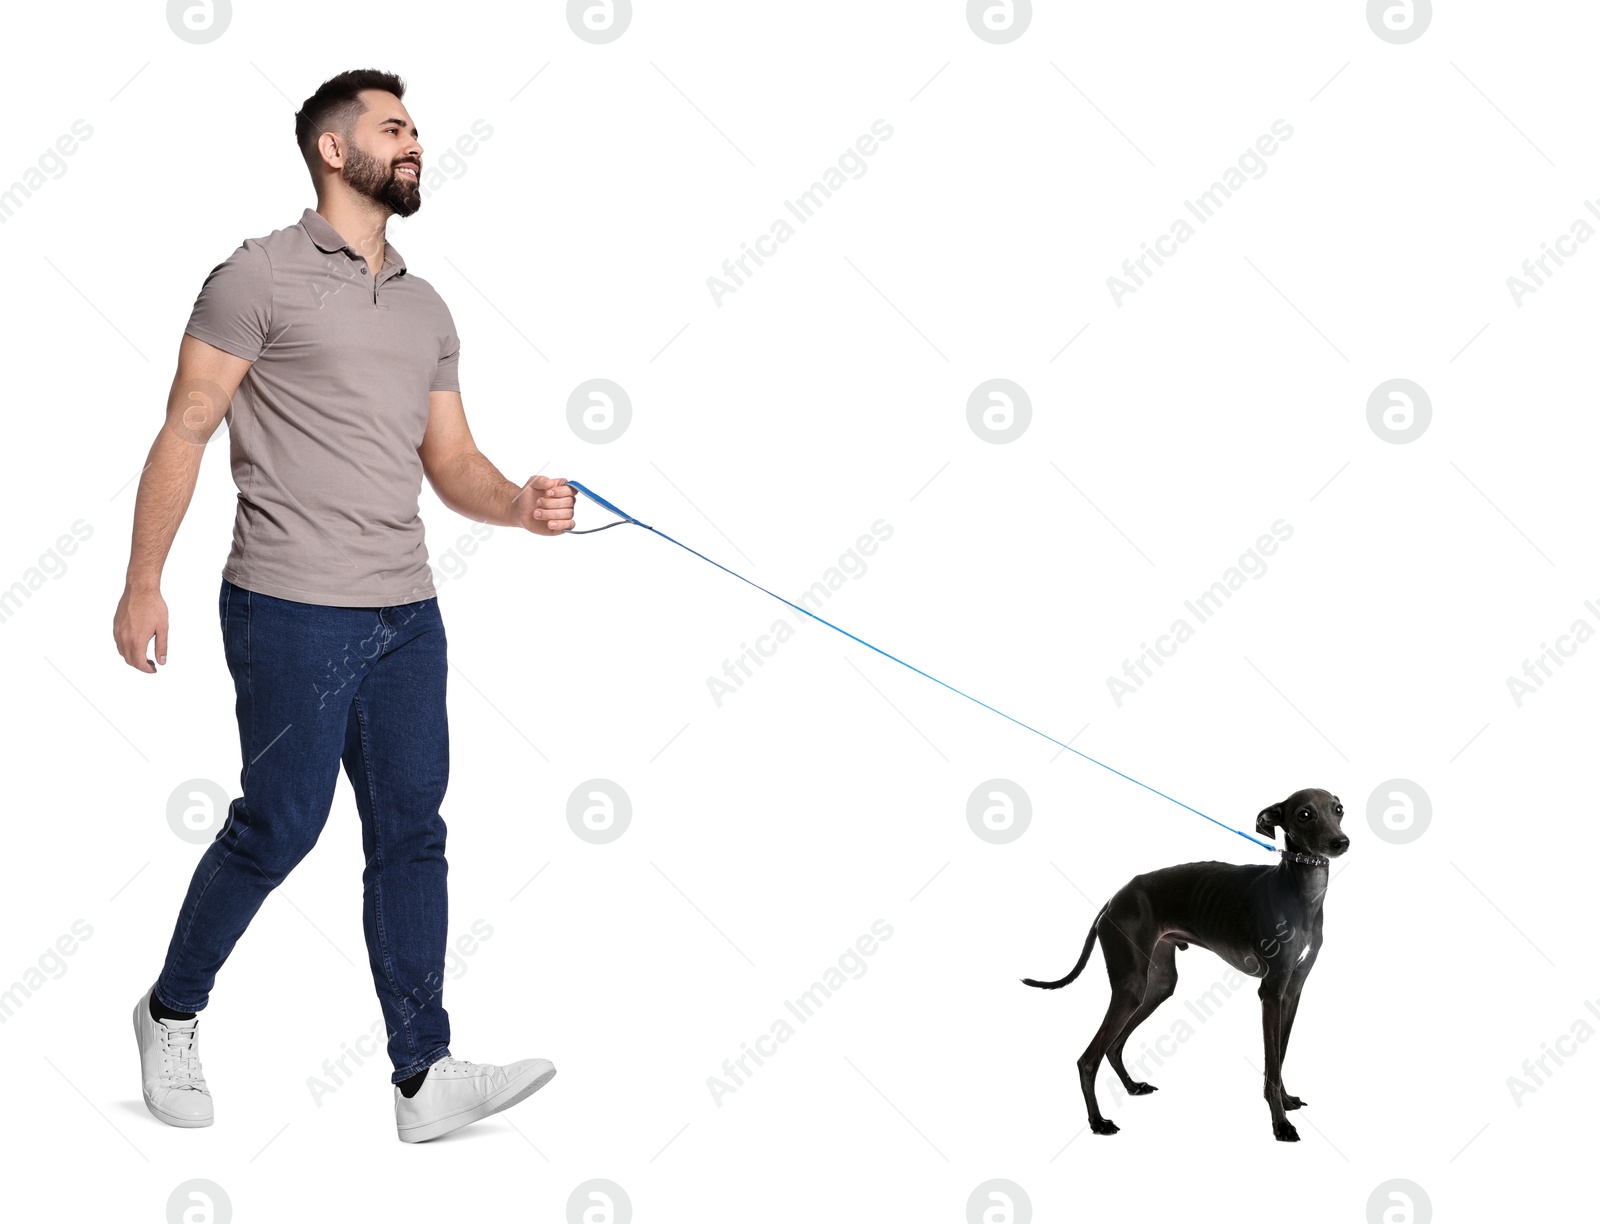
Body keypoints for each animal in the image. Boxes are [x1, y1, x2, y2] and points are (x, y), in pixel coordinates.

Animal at [1017, 787, 1344, 1139]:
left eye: (1338, 809)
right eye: (1304, 814)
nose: (1341, 842)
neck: (1300, 893)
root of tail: (1114, 899)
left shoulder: (1292, 991)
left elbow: (1279, 1057)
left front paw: (1286, 1101)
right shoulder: (1271, 992)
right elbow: (1271, 1063)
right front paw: (1280, 1124)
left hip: (1158, 985)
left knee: (1113, 1046)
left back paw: (1132, 1086)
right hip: (1132, 986)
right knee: (1088, 1059)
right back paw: (1097, 1121)